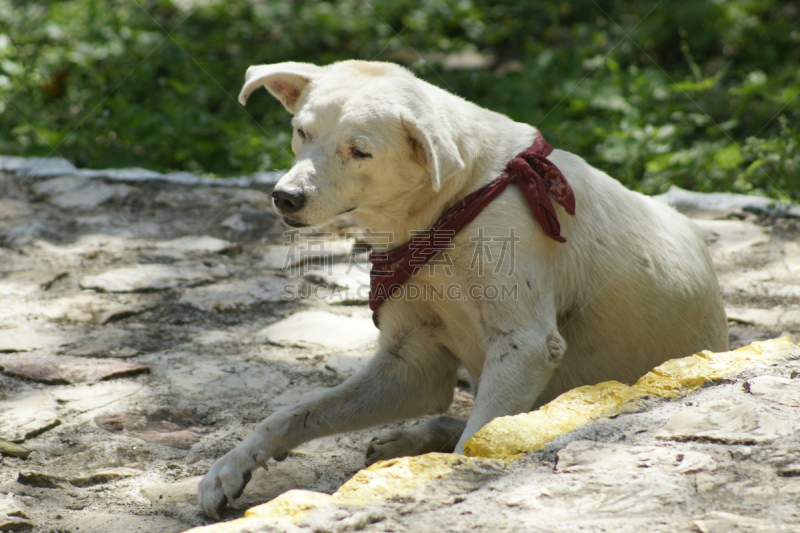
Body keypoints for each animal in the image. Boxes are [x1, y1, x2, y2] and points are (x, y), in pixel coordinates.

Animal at [197, 60, 728, 516]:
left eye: (360, 150)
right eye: (301, 132)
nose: (285, 196)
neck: (455, 203)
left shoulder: (525, 346)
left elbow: (473, 442)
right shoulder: (411, 365)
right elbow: (292, 412)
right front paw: (231, 465)